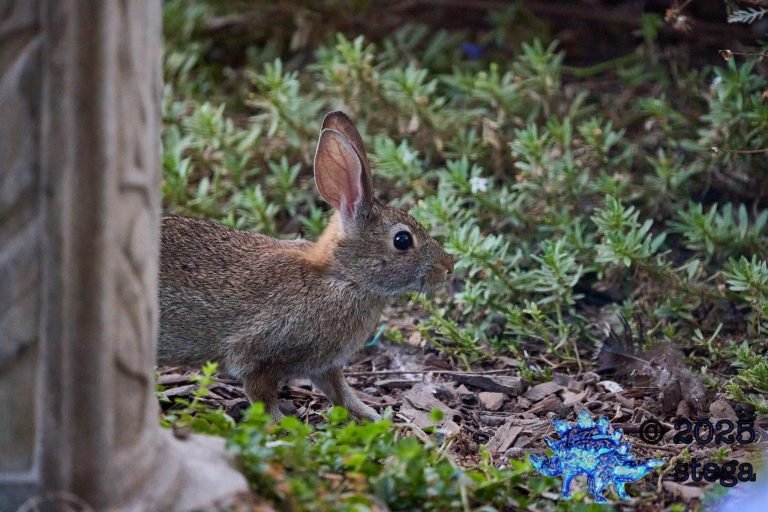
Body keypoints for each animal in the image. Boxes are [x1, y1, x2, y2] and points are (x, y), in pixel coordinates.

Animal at [158, 111, 453, 421]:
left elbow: (343, 395)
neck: (344, 277)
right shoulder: (258, 356)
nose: (448, 267)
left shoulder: (324, 365)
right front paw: (283, 425)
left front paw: (377, 417)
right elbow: (262, 397)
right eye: (402, 240)